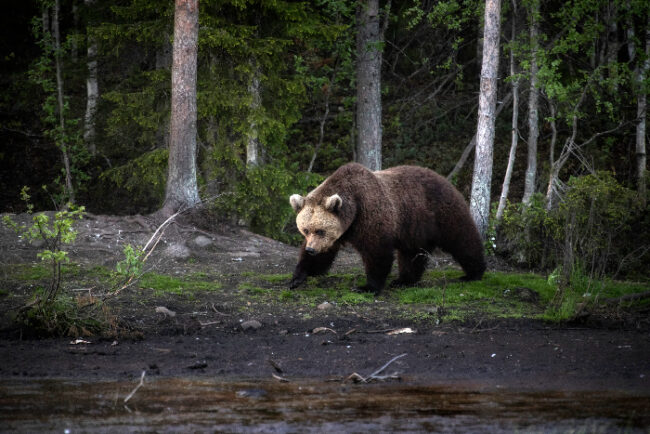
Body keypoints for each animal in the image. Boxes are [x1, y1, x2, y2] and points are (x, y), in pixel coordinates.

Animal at [286, 164, 484, 294]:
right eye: (305, 230)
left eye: (320, 230)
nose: (311, 249)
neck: (353, 210)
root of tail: (444, 178)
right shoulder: (339, 233)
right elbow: (323, 255)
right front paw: (296, 277)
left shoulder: (370, 215)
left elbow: (376, 251)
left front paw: (367, 287)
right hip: (413, 226)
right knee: (411, 254)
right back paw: (403, 281)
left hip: (442, 212)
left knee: (462, 239)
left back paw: (474, 273)